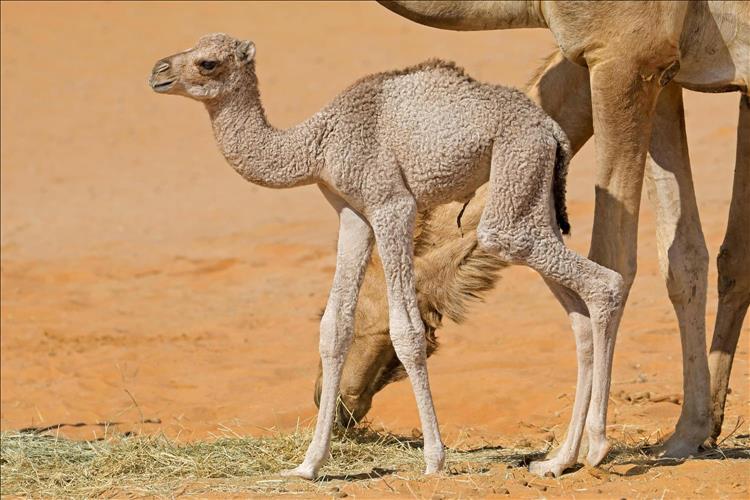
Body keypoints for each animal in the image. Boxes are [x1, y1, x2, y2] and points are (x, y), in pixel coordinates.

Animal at [150, 32, 626, 479]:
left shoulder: (391, 204)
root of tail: (551, 130)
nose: (158, 72)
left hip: (513, 184)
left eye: (207, 62)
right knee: (577, 314)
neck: (319, 144)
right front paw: (308, 466)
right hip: (531, 197)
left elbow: (407, 331)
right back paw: (559, 461)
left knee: (605, 281)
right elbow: (334, 328)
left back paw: (598, 447)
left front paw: (434, 460)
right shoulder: (351, 213)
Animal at [358, 0, 749, 455]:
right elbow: (686, 257)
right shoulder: (667, 73)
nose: (341, 404)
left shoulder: (626, 55)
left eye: (364, 306)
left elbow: (613, 259)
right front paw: (689, 433)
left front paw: (577, 450)